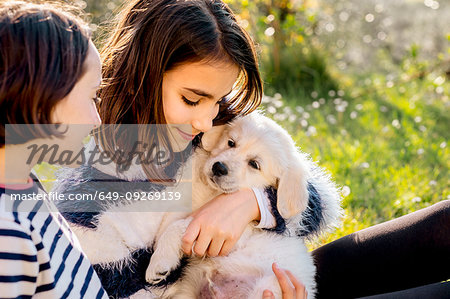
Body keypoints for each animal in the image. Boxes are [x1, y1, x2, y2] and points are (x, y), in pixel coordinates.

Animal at [146, 112, 342, 299]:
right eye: (231, 143)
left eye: (254, 164)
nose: (219, 167)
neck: (213, 193)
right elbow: (173, 216)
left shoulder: (228, 235)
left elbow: (182, 225)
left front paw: (159, 262)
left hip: (267, 287)